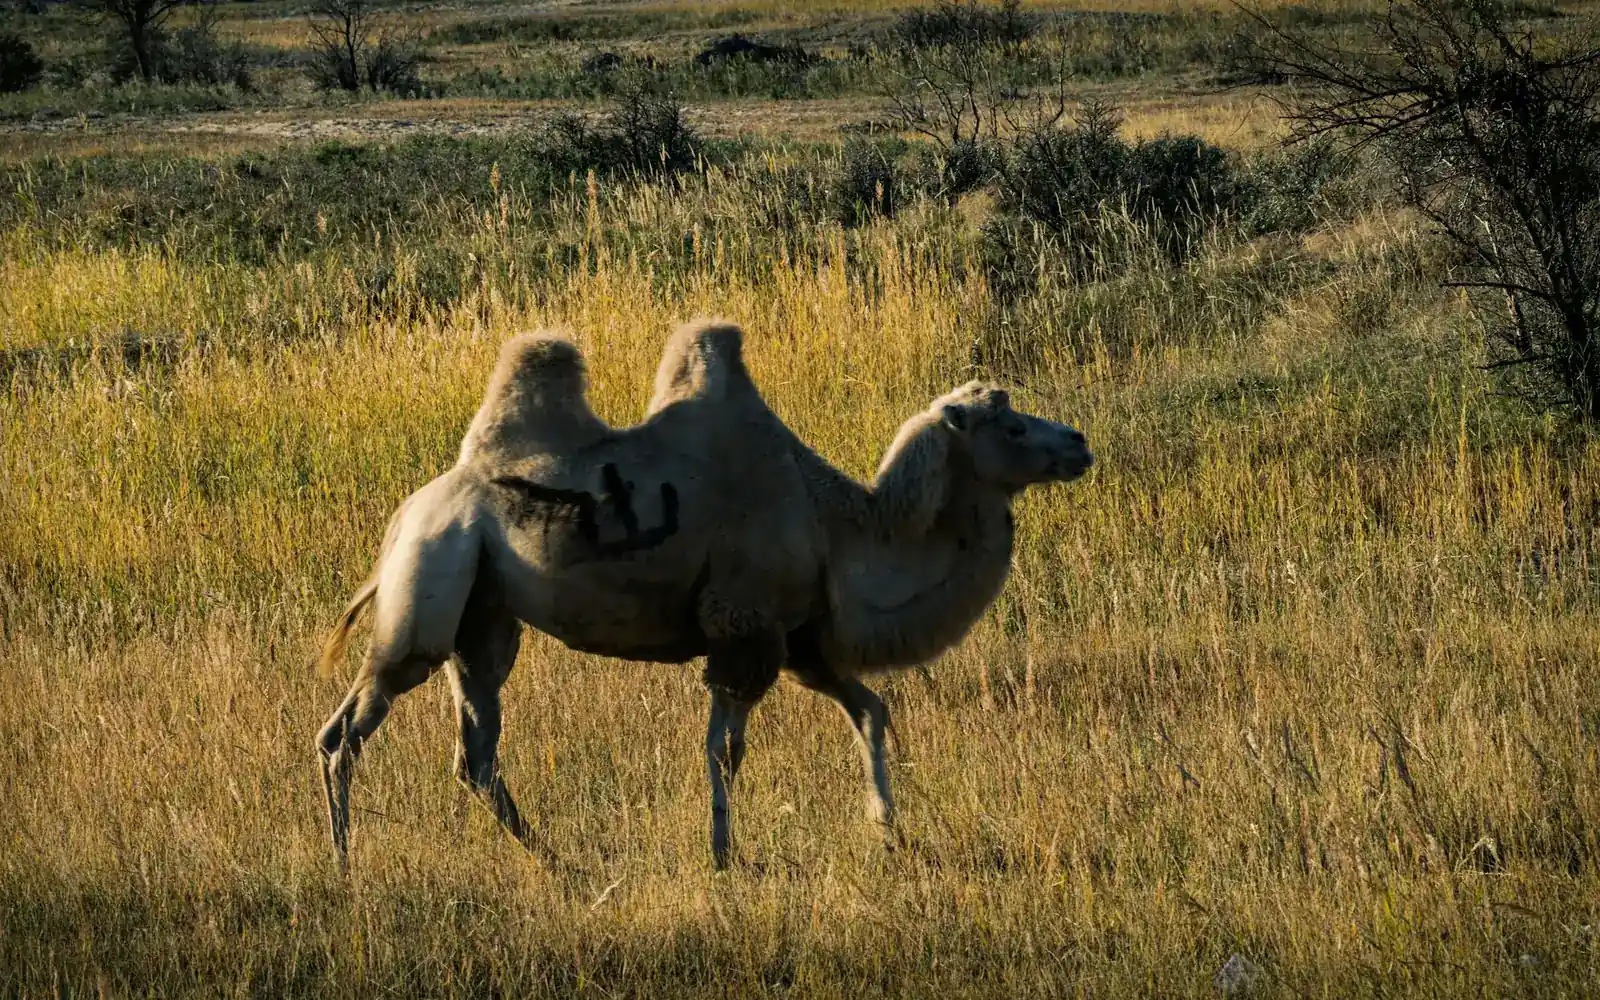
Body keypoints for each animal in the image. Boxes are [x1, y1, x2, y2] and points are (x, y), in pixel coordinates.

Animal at [313, 320, 1093, 870]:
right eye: (1013, 425)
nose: (1079, 442)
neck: (837, 525)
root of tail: (406, 516)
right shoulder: (742, 626)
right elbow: (724, 750)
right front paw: (723, 855)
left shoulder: (796, 640)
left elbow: (870, 708)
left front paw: (889, 830)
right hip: (430, 581)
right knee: (347, 729)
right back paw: (346, 866)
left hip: (485, 617)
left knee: (476, 752)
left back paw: (557, 863)